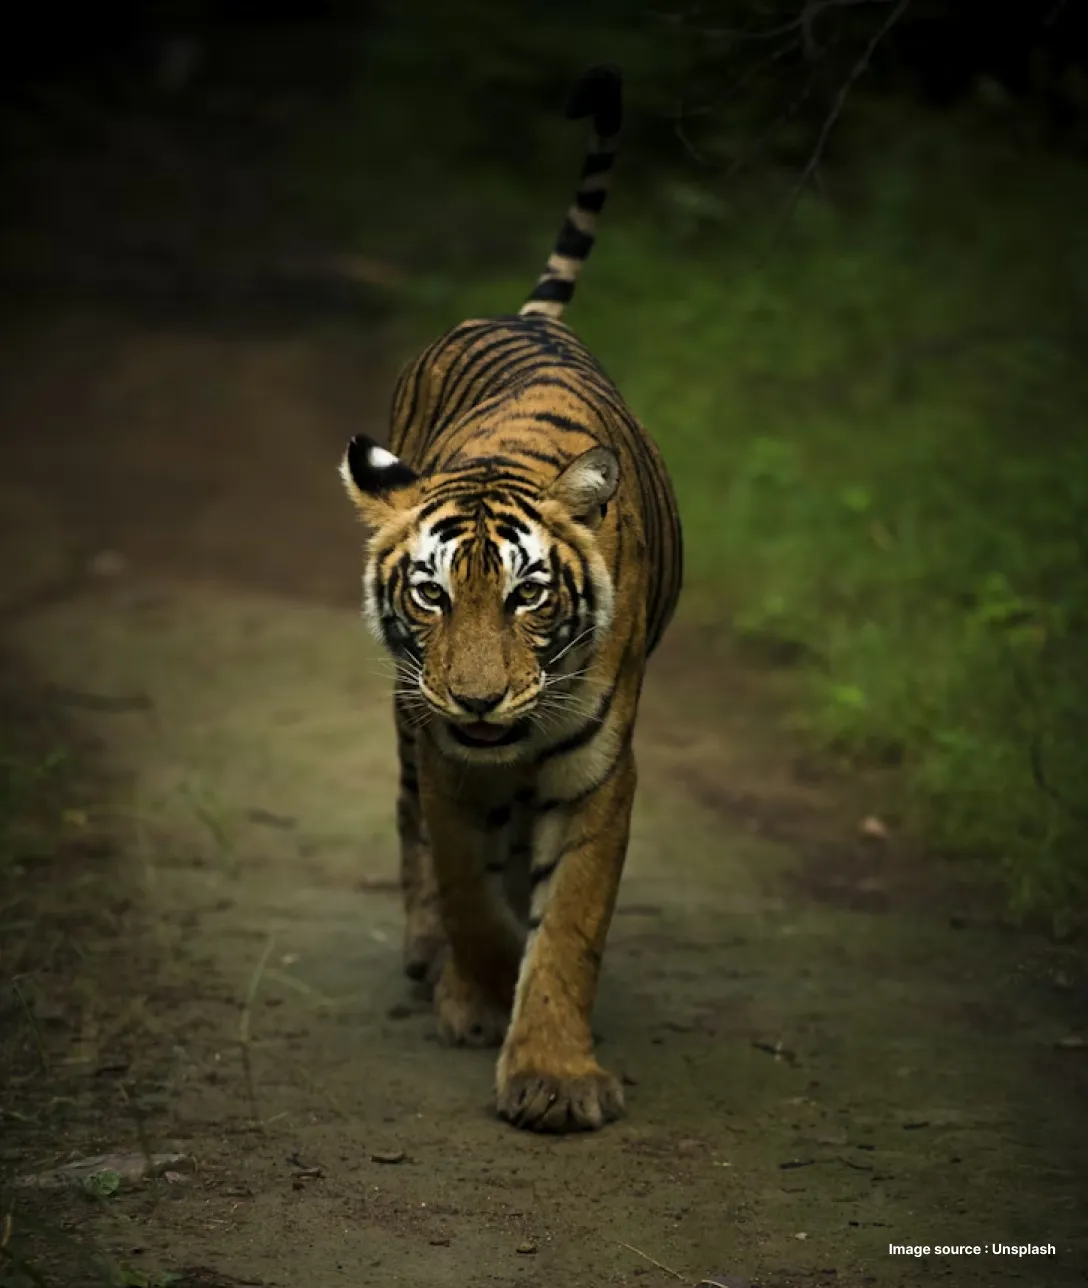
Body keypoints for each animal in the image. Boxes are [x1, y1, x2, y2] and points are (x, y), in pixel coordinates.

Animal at [339, 64, 682, 1133]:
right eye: (431, 596)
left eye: (531, 595)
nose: (481, 700)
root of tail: (528, 318)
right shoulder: (447, 755)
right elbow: (465, 885)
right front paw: (479, 992)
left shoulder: (599, 773)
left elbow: (568, 923)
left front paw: (553, 1075)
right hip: (405, 719)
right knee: (411, 825)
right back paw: (427, 957)